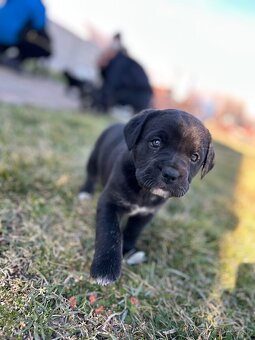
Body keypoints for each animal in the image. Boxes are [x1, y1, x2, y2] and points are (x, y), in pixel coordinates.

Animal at [78, 108, 214, 284]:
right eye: (156, 142)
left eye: (194, 157)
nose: (171, 174)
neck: (144, 191)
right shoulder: (109, 203)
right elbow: (110, 233)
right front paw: (105, 269)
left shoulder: (146, 213)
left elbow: (133, 231)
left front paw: (127, 250)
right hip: (93, 158)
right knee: (91, 176)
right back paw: (85, 192)